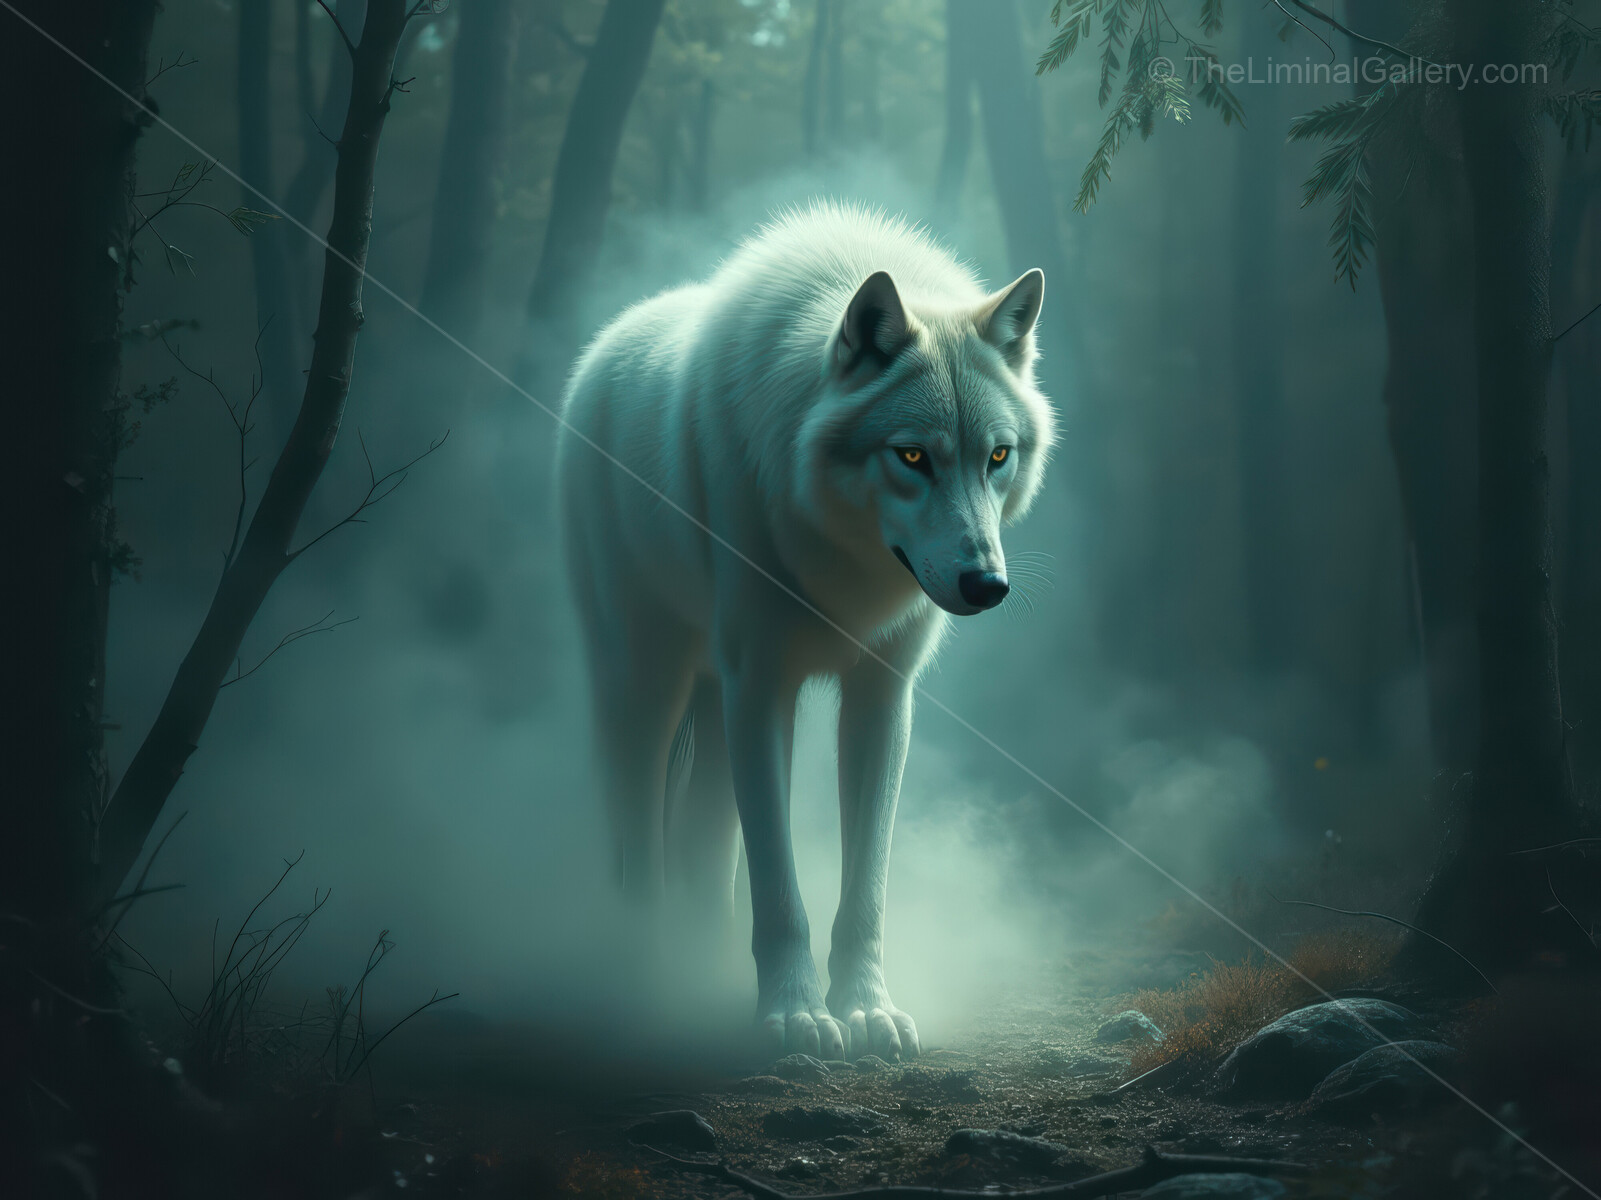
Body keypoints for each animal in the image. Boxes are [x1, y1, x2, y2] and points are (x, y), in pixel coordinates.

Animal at [555, 203, 1054, 1060]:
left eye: (996, 456)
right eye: (911, 456)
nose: (985, 586)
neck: (844, 569)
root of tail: (602, 348)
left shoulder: (881, 699)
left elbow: (863, 894)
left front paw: (866, 1011)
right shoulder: (762, 691)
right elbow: (779, 889)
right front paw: (793, 1018)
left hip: (712, 703)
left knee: (702, 842)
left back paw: (704, 969)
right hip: (644, 688)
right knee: (637, 841)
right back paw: (646, 976)